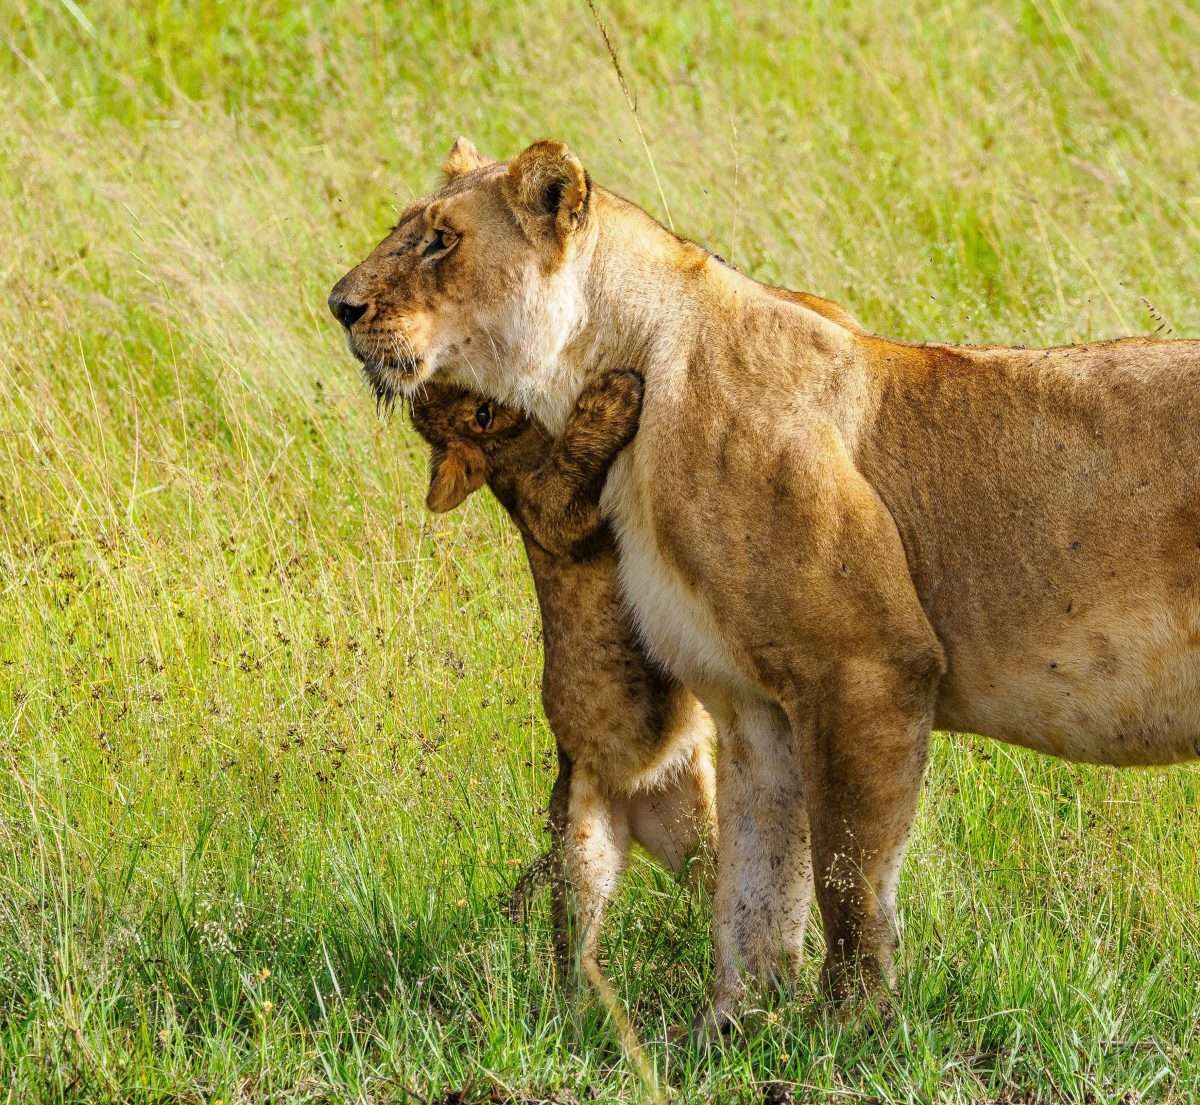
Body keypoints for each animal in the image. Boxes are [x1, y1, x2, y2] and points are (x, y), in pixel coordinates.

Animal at [406, 371, 716, 989]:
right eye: (479, 415)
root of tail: (639, 794)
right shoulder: (551, 515)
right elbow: (567, 471)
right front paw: (614, 393)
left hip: (695, 828)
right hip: (581, 848)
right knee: (575, 947)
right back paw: (590, 1004)